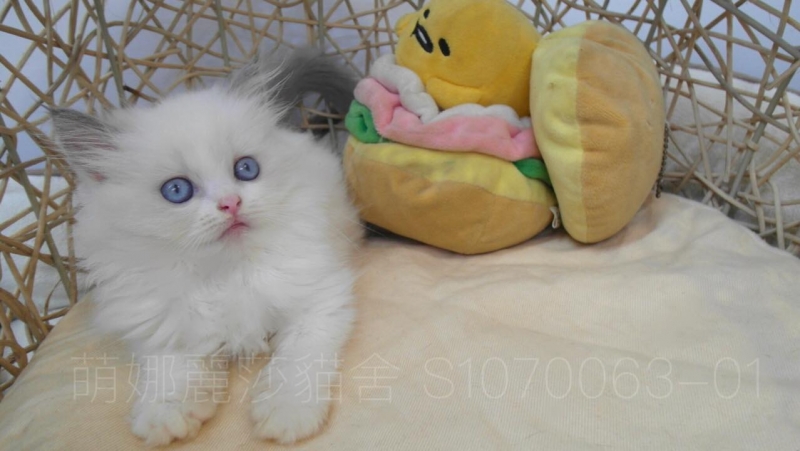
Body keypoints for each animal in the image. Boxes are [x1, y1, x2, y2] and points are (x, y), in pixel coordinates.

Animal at [51, 48, 362, 446]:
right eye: (177, 190)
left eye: (246, 169)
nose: (231, 203)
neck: (225, 273)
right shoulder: (164, 323)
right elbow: (172, 370)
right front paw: (165, 414)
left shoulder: (319, 300)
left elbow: (298, 360)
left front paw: (288, 412)